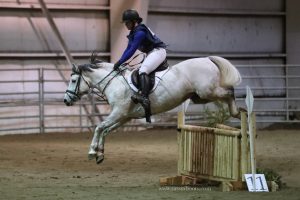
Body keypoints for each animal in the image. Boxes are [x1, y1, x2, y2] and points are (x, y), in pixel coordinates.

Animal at [64, 55, 243, 164]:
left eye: (73, 80)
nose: (66, 100)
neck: (114, 82)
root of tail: (207, 59)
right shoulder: (125, 116)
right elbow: (106, 130)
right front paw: (100, 154)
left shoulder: (119, 112)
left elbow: (99, 127)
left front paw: (92, 152)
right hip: (200, 96)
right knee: (225, 94)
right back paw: (238, 114)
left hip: (207, 91)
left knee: (229, 92)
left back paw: (238, 112)